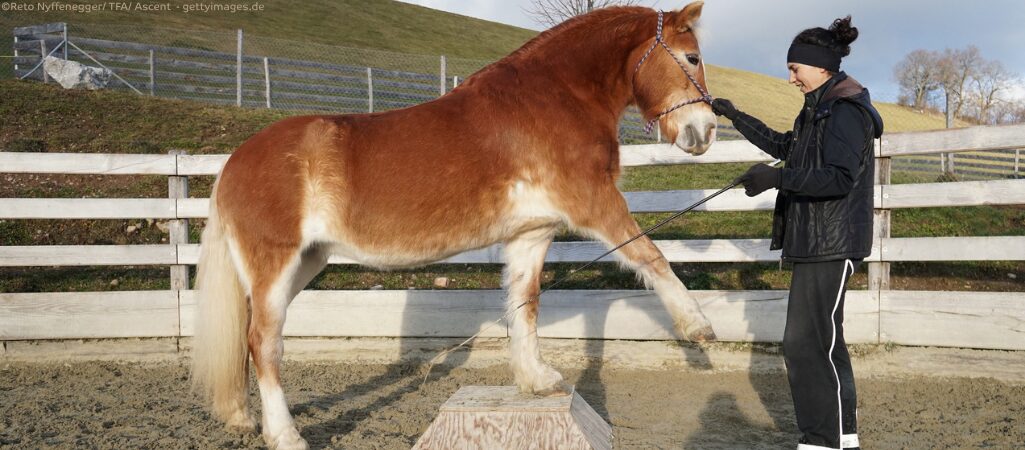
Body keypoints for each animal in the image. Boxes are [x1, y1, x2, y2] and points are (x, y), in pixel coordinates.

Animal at [191, 2, 717, 448]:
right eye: (691, 57)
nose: (706, 131)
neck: (553, 97)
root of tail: (235, 161)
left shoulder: (531, 233)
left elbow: (524, 305)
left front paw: (536, 380)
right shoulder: (596, 204)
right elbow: (650, 255)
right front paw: (698, 326)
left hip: (303, 263)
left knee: (247, 334)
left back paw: (242, 416)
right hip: (276, 263)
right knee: (264, 342)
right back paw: (286, 435)